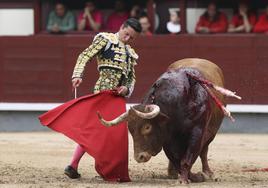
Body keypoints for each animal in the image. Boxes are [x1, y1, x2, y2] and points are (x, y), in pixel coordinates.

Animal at [97, 58, 241, 183]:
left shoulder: (197, 132)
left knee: (204, 151)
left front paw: (188, 179)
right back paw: (172, 173)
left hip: (211, 132)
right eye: (130, 130)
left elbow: (189, 158)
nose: (139, 157)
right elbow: (176, 159)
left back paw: (208, 173)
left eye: (147, 127)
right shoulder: (166, 137)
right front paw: (190, 176)